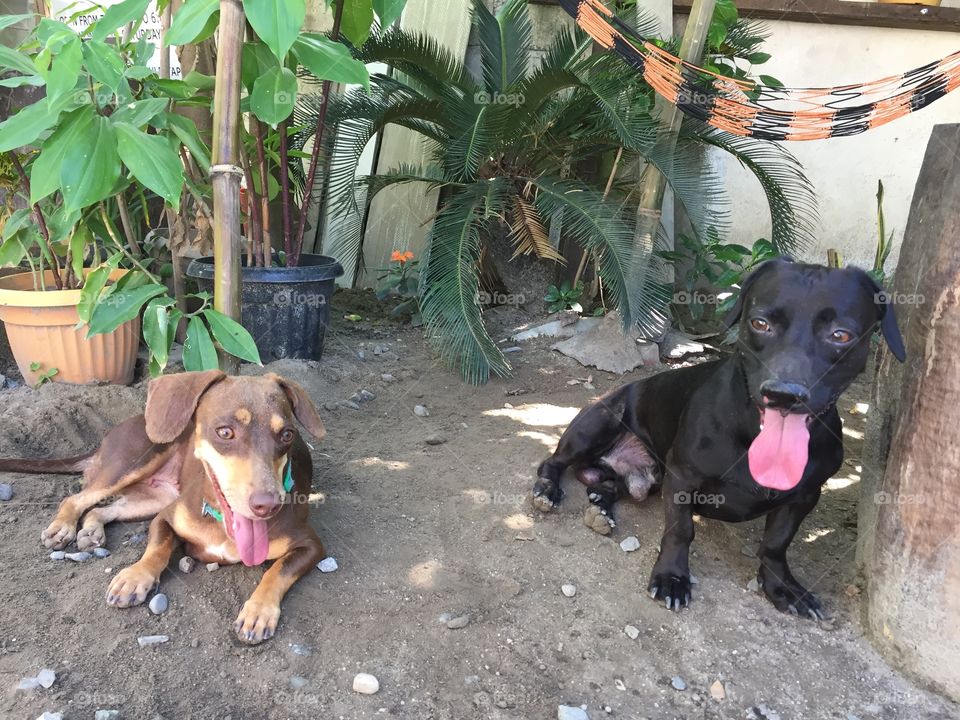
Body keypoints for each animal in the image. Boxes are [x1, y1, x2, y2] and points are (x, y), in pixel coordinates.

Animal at [0, 372, 326, 640]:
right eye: (225, 432)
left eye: (287, 435)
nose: (267, 505)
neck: (222, 526)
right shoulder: (165, 519)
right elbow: (157, 549)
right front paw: (135, 577)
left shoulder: (310, 545)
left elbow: (277, 571)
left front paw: (258, 611)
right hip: (131, 464)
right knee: (77, 498)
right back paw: (62, 527)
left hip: (156, 496)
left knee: (101, 509)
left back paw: (91, 531)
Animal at [536, 260, 904, 620]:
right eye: (760, 323)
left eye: (840, 335)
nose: (783, 394)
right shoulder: (682, 478)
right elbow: (681, 530)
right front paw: (672, 578)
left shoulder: (804, 496)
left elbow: (776, 543)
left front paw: (781, 586)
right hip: (598, 425)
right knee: (552, 462)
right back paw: (548, 490)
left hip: (650, 477)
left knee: (612, 486)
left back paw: (602, 505)